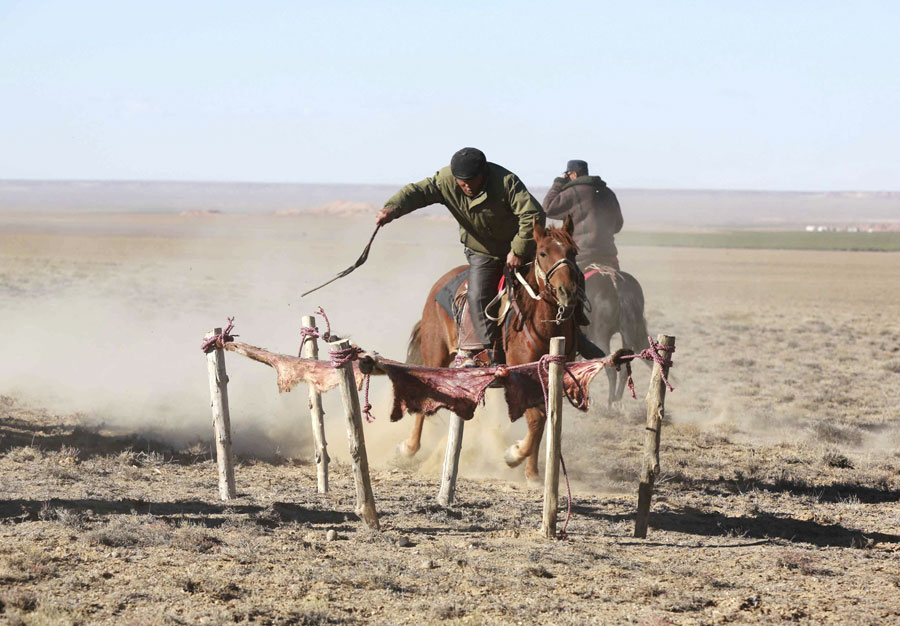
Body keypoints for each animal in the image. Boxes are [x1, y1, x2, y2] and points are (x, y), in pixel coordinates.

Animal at [398, 214, 580, 478]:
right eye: (544, 253)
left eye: (573, 251)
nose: (568, 292)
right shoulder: (520, 378)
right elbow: (536, 419)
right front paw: (514, 455)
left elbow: (543, 419)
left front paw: (532, 473)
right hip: (435, 354)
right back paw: (409, 447)